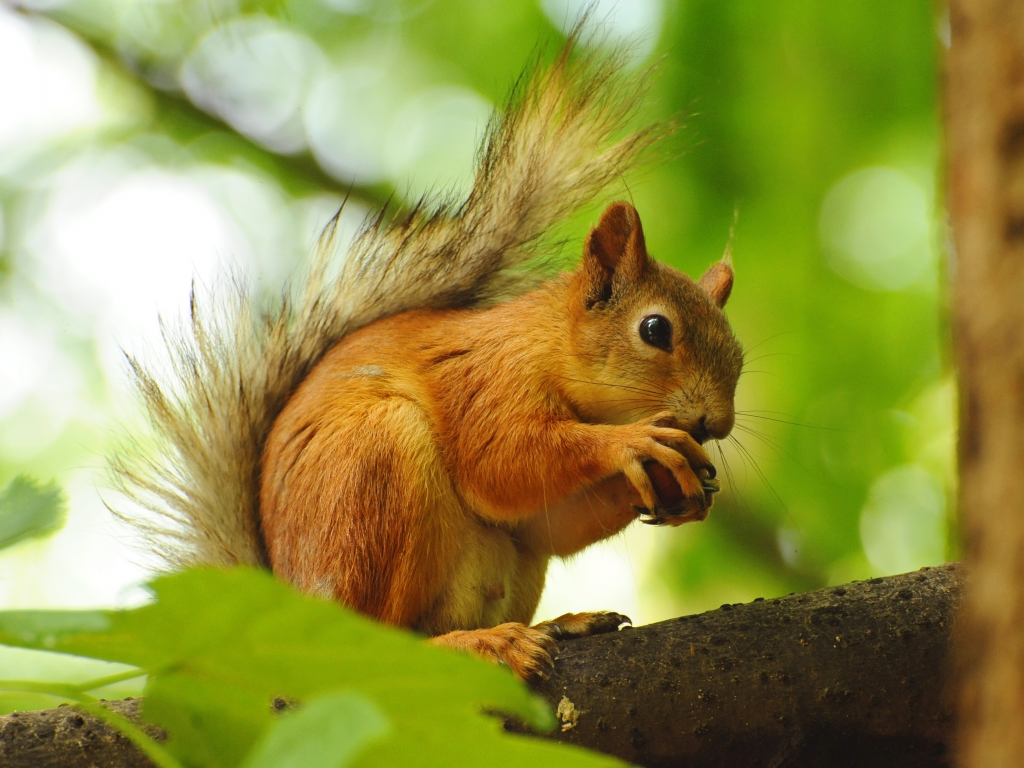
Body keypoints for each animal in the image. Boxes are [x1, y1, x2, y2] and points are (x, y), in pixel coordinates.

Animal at [108, 31, 741, 679]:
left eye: (738, 352)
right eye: (655, 329)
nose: (716, 423)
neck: (546, 345)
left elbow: (546, 523)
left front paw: (682, 488)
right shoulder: (485, 381)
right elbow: (501, 462)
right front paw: (633, 442)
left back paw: (557, 625)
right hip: (375, 474)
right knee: (378, 643)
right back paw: (483, 644)